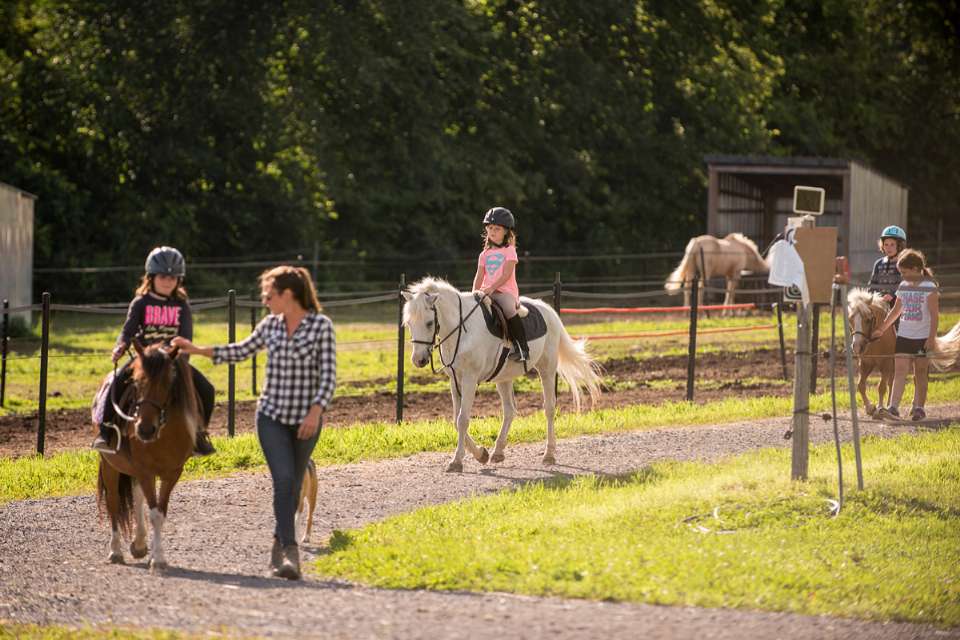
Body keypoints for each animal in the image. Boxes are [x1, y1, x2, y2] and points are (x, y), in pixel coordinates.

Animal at [95, 340, 202, 568]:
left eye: (167, 383)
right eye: (135, 382)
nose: (144, 430)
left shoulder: (172, 473)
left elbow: (159, 512)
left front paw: (156, 555)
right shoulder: (144, 471)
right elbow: (152, 511)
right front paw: (157, 557)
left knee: (136, 495)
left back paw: (139, 544)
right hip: (109, 464)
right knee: (114, 502)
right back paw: (115, 550)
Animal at [404, 278, 600, 472]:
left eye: (429, 323)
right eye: (409, 324)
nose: (419, 360)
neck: (462, 330)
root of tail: (548, 310)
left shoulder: (469, 379)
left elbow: (462, 420)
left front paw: (457, 461)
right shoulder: (455, 380)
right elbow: (455, 420)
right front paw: (481, 454)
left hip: (547, 369)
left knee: (550, 408)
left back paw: (549, 454)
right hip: (504, 378)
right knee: (509, 411)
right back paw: (498, 452)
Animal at [848, 288, 892, 418]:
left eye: (868, 320)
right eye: (850, 320)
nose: (857, 346)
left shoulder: (886, 363)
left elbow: (881, 387)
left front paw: (880, 408)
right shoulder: (865, 363)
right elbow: (861, 385)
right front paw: (869, 407)